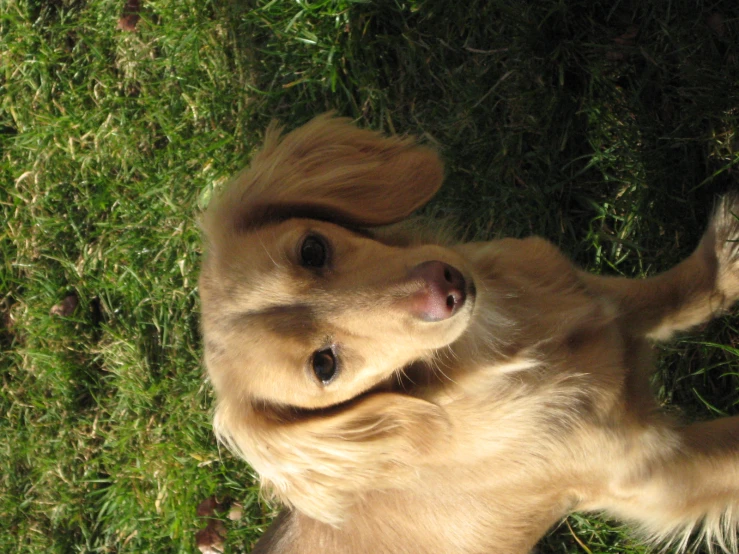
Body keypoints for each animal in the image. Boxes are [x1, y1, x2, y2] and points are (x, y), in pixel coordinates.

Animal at [199, 113, 739, 552]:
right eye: (325, 366)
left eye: (313, 250)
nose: (446, 288)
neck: (504, 344)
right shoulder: (653, 472)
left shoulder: (602, 299)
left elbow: (684, 291)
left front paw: (728, 255)